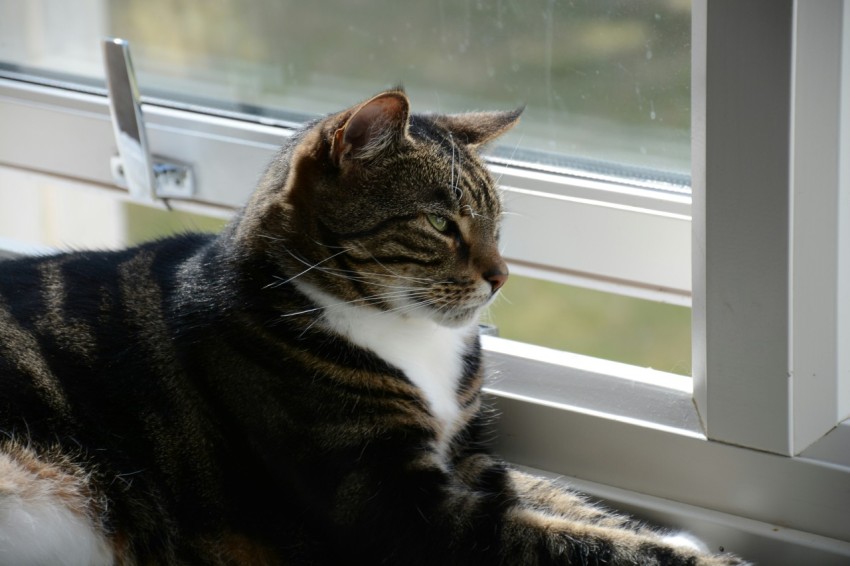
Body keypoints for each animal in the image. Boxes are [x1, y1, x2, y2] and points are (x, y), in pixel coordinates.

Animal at [0, 90, 744, 566]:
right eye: (441, 222)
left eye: (497, 224)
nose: (502, 276)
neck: (409, 337)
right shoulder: (395, 510)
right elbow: (562, 539)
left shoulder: (463, 455)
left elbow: (561, 501)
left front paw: (683, 538)